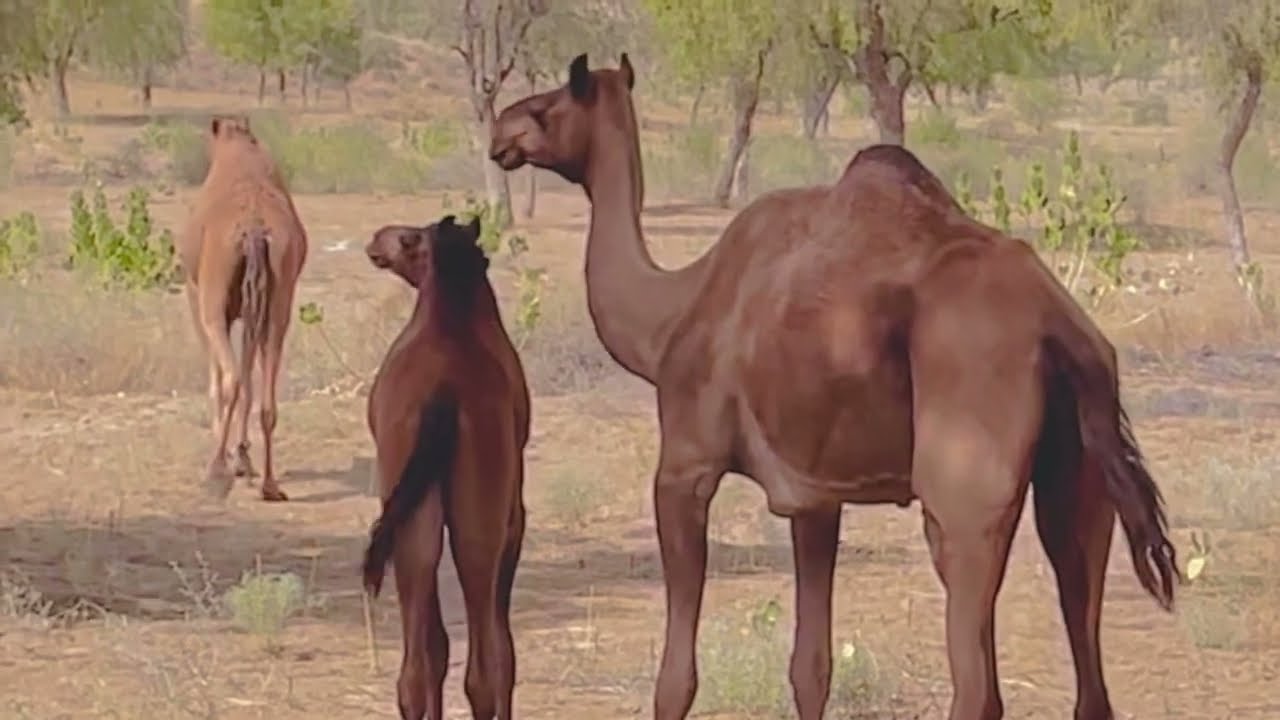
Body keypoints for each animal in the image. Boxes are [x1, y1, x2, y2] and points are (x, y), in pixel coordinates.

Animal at [177, 114, 309, 502]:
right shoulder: (256, 308)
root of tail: (254, 230)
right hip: (279, 301)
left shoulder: (195, 293)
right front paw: (244, 458)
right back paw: (269, 484)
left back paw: (215, 470)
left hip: (213, 297)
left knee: (231, 377)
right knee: (265, 396)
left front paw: (231, 460)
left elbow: (217, 377)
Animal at [361, 215, 530, 720]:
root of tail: (444, 393)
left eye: (408, 238)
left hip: (414, 523)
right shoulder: (514, 518)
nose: (376, 240)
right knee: (486, 666)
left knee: (418, 669)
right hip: (481, 525)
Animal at [487, 54, 1178, 720]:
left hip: (965, 494)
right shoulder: (814, 495)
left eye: (549, 103)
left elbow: (675, 682)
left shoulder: (685, 465)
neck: (669, 316)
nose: (500, 131)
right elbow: (810, 669)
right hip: (1081, 477)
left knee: (978, 682)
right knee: (1085, 651)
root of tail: (1059, 327)